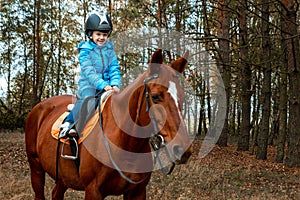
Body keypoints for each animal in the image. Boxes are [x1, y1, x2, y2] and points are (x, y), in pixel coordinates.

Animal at [26, 48, 195, 200]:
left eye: (183, 97)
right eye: (155, 96)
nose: (183, 149)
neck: (125, 142)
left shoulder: (137, 192)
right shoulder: (93, 191)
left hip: (63, 178)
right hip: (36, 168)